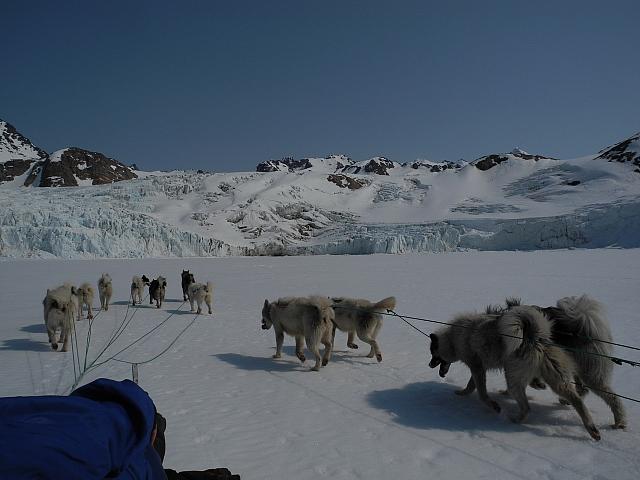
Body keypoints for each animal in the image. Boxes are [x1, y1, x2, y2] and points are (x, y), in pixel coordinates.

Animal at [428, 306, 604, 440]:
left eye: (433, 354)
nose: (429, 365)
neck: (453, 338)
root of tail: (533, 337)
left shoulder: (477, 368)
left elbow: (482, 394)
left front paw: (494, 406)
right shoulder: (478, 369)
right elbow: (471, 386)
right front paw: (463, 392)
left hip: (513, 378)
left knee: (526, 407)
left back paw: (516, 419)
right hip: (557, 379)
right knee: (577, 400)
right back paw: (592, 429)